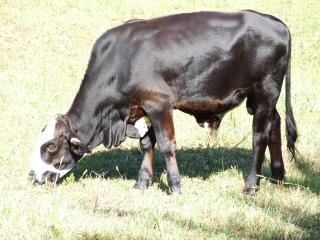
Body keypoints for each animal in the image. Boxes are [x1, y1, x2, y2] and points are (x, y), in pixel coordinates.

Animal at [28, 10, 298, 196]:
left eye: (50, 146)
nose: (33, 175)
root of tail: (276, 22)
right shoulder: (143, 108)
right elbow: (147, 145)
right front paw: (142, 183)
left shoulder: (159, 104)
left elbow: (167, 145)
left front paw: (175, 185)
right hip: (261, 97)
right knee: (274, 123)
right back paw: (278, 175)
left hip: (265, 90)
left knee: (259, 137)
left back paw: (251, 185)